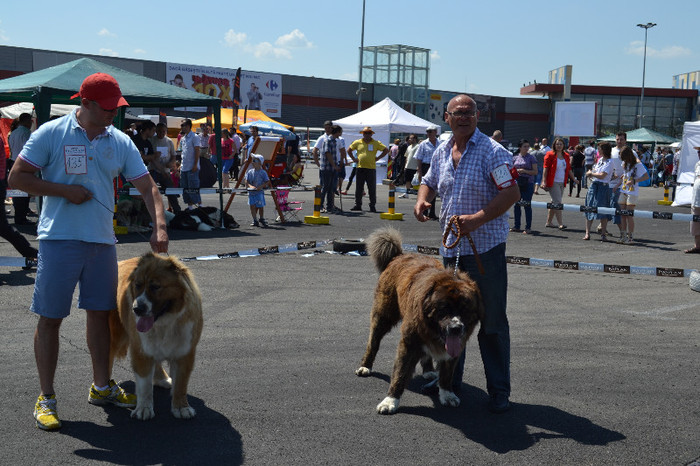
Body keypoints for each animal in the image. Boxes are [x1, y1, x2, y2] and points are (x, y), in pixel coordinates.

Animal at [108, 253, 202, 420]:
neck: (164, 322)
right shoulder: (141, 351)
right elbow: (144, 385)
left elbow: (181, 384)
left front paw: (181, 407)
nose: (137, 309)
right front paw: (144, 408)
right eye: (138, 285)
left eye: (155, 287)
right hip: (116, 337)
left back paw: (161, 379)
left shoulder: (184, 353)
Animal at [356, 228, 482, 414]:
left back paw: (429, 370)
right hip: (383, 316)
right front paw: (390, 401)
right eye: (444, 309)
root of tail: (399, 255)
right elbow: (400, 374)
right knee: (373, 342)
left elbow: (447, 374)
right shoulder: (409, 343)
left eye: (465, 310)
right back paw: (365, 366)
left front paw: (447, 394)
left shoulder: (456, 345)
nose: (456, 328)